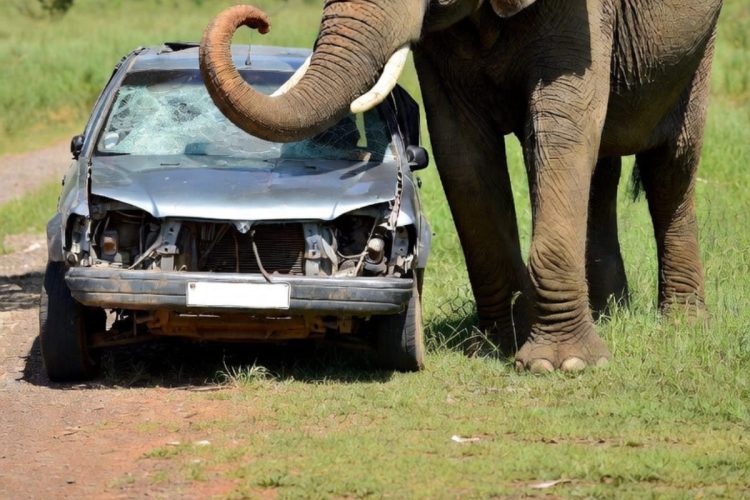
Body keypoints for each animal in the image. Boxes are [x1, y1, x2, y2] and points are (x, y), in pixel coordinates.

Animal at [199, 0, 723, 372]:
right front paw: (495, 343)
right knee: (603, 171)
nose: (257, 22)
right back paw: (611, 312)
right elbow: (461, 151)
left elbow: (561, 133)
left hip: (700, 48)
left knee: (671, 167)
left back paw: (684, 324)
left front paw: (563, 365)